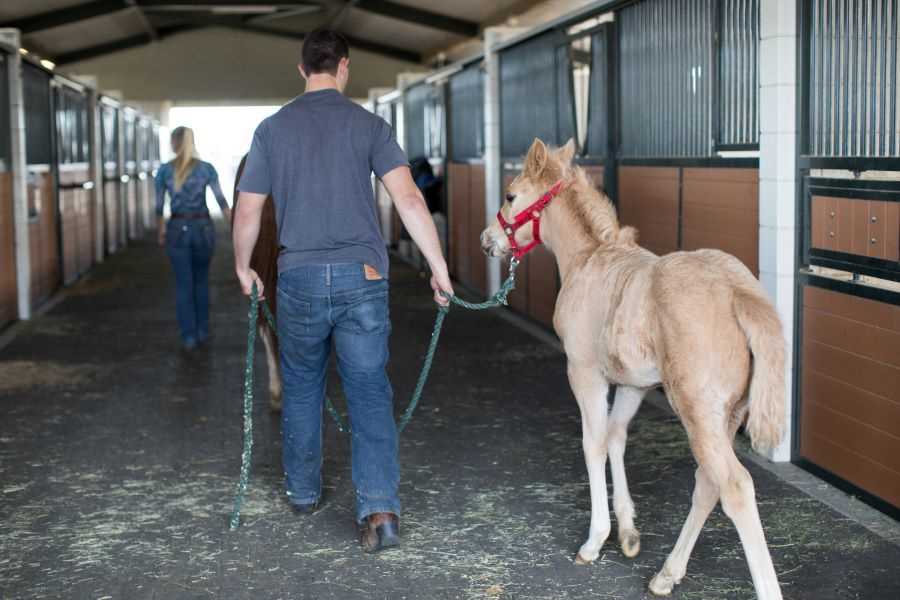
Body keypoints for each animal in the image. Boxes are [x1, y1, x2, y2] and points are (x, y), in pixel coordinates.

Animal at [482, 138, 784, 596]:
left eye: (511, 195)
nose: (488, 240)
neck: (588, 258)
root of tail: (737, 291)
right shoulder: (632, 384)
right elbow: (615, 437)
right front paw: (627, 532)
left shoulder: (584, 373)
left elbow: (592, 443)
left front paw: (595, 541)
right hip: (730, 414)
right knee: (707, 482)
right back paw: (666, 574)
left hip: (698, 410)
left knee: (734, 486)